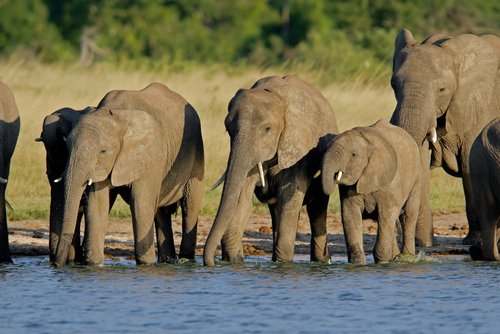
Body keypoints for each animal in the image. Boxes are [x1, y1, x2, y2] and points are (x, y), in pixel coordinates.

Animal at [54, 83, 203, 266]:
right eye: (66, 148)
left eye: (103, 151)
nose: (57, 265)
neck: (117, 116)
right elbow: (97, 206)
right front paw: (94, 265)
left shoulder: (150, 155)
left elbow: (140, 205)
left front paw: (146, 265)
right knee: (161, 212)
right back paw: (167, 261)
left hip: (196, 155)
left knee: (190, 206)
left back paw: (186, 260)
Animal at [202, 75, 336, 266]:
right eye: (228, 129)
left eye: (267, 129)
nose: (212, 263)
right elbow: (242, 200)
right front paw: (235, 261)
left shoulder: (298, 147)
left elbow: (289, 201)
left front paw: (283, 263)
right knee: (276, 209)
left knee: (317, 206)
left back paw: (322, 262)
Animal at [320, 120, 422, 264]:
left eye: (354, 155)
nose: (328, 258)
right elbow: (350, 215)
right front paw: (358, 262)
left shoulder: (391, 182)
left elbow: (386, 213)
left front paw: (382, 261)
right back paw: (395, 256)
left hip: (416, 178)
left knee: (407, 216)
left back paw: (406, 257)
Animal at [390, 28, 500, 245]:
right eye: (393, 85)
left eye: (442, 89)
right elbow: (420, 158)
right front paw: (424, 243)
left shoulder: (480, 103)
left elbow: (468, 161)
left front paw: (473, 241)